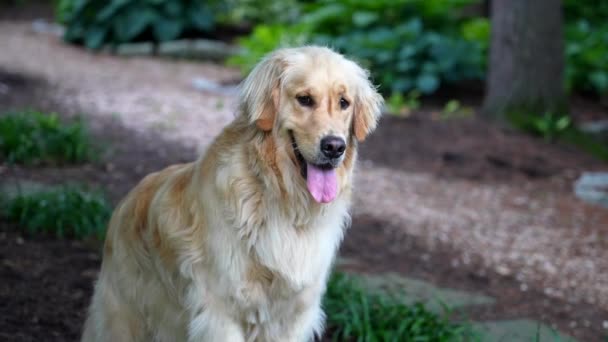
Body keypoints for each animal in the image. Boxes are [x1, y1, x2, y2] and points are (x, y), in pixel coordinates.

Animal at [82, 46, 380, 342]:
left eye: (344, 102)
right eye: (304, 99)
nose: (334, 147)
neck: (284, 201)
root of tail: (125, 202)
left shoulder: (292, 316)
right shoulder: (221, 312)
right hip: (125, 317)